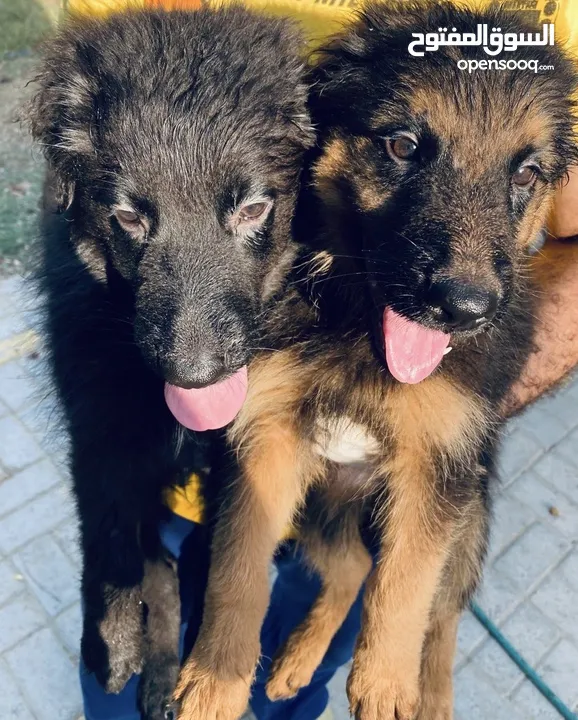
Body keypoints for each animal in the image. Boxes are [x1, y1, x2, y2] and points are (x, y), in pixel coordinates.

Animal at [25, 7, 312, 720]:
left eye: (254, 208)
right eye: (128, 216)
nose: (195, 374)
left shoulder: (242, 449)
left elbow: (218, 553)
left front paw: (205, 667)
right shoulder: (99, 426)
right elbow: (113, 534)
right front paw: (114, 639)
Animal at [174, 1, 576, 720]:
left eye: (526, 174)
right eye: (402, 147)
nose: (463, 308)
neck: (361, 336)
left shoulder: (439, 464)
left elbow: (408, 584)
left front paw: (387, 685)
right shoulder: (269, 442)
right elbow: (238, 567)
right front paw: (215, 680)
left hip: (467, 515)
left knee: (442, 614)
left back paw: (431, 695)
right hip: (321, 506)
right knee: (355, 568)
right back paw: (297, 660)